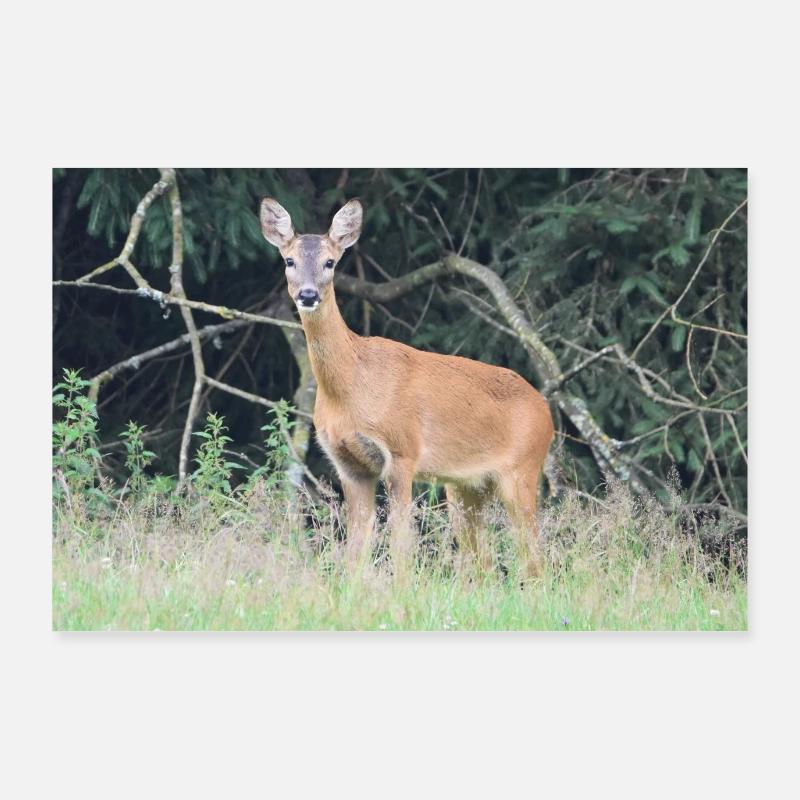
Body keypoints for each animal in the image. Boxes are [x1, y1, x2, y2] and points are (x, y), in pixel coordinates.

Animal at [260, 197, 554, 578]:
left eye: (330, 261)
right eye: (289, 260)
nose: (308, 295)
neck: (352, 389)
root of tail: (546, 410)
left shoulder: (402, 451)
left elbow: (402, 544)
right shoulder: (349, 465)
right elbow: (356, 548)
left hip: (522, 470)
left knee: (534, 557)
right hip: (465, 487)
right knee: (483, 561)